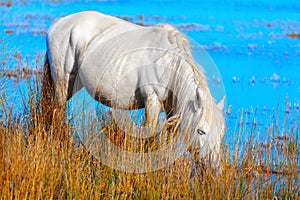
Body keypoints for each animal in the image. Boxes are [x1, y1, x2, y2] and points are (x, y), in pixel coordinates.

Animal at [42, 11, 225, 169]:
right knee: (57, 112)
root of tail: (59, 23)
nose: (214, 168)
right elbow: (149, 134)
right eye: (201, 131)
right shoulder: (152, 101)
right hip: (62, 80)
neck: (169, 62)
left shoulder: (173, 110)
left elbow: (169, 139)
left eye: (221, 133)